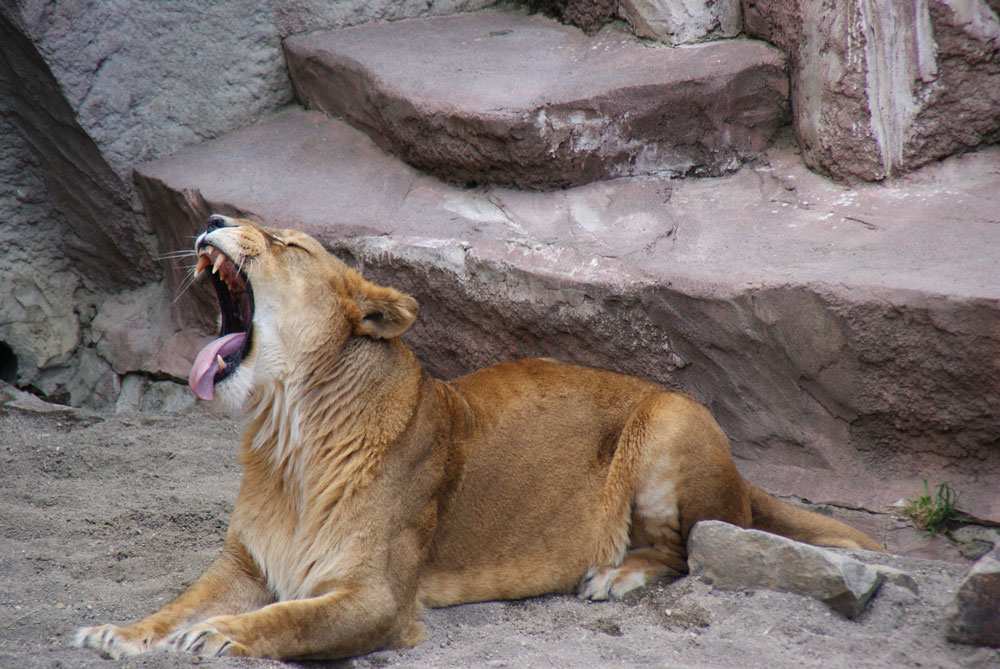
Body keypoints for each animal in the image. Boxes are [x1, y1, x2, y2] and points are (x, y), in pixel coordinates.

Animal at [76, 215, 883, 660]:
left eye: (286, 243)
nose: (210, 217)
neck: (287, 439)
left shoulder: (378, 596)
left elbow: (291, 617)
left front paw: (226, 636)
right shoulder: (242, 561)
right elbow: (180, 601)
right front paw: (122, 632)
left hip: (671, 415)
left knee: (692, 546)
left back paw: (616, 574)